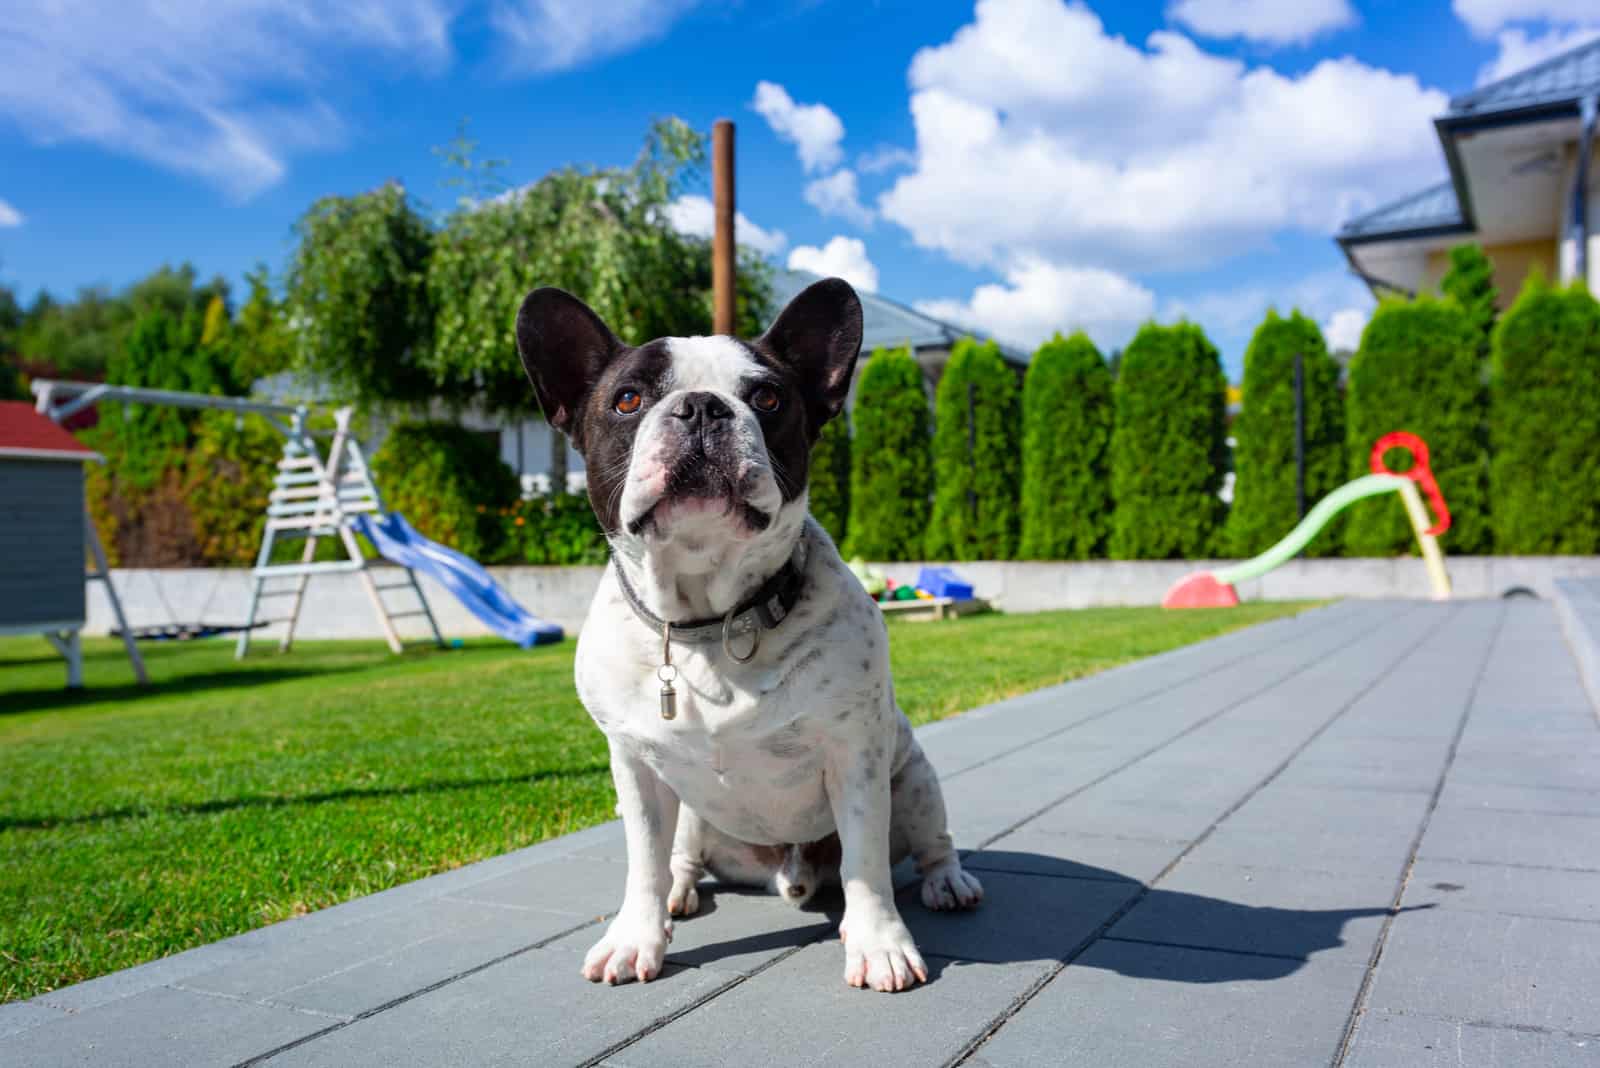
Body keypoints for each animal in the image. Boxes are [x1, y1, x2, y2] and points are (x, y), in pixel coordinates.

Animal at [518, 278, 979, 991]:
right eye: (628, 400)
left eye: (767, 398)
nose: (702, 408)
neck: (709, 622)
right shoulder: (636, 768)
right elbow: (643, 861)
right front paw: (635, 937)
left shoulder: (857, 757)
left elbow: (866, 861)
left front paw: (879, 942)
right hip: (692, 814)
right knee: (678, 858)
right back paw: (681, 894)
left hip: (913, 782)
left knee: (929, 842)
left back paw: (947, 882)